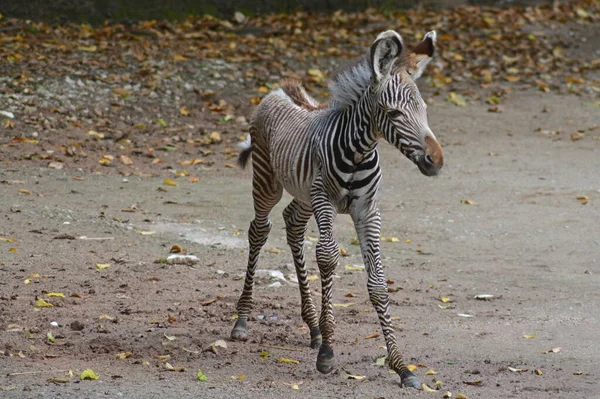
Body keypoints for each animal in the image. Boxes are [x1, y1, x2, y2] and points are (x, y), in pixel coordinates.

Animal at [232, 28, 442, 390]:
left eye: (424, 110)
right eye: (394, 114)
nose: (436, 161)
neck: (359, 151)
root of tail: (281, 88)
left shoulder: (368, 210)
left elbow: (378, 282)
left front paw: (401, 366)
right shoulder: (324, 200)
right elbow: (328, 258)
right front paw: (328, 353)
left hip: (303, 194)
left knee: (292, 224)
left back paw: (313, 327)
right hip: (268, 181)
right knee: (259, 230)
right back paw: (242, 321)